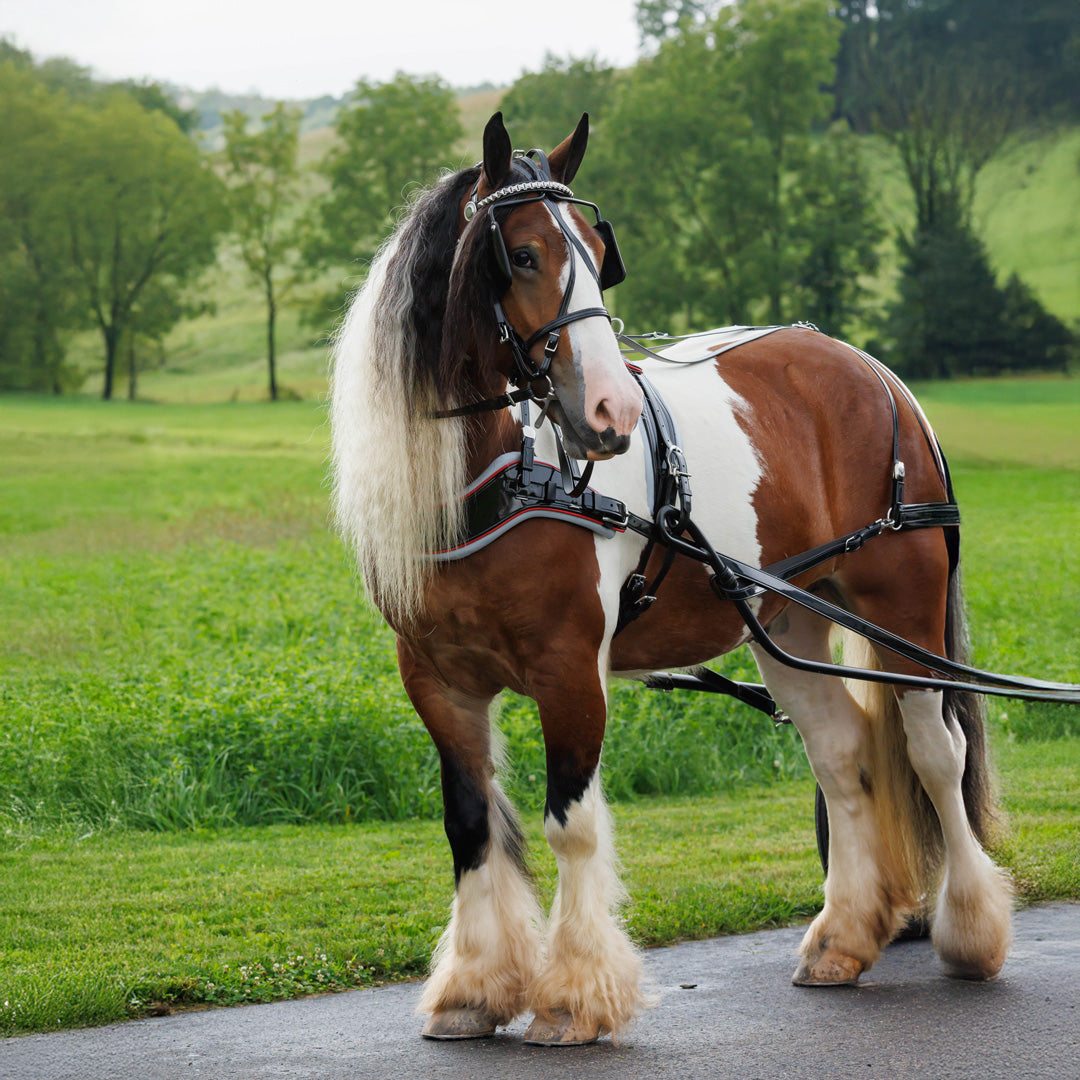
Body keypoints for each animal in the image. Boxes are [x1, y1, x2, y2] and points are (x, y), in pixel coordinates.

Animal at [326, 111, 1010, 1045]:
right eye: (524, 255)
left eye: (595, 251)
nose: (609, 413)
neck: (508, 477)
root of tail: (872, 370)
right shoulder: (437, 679)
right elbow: (469, 824)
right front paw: (472, 988)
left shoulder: (570, 671)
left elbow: (571, 825)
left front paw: (574, 996)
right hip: (788, 627)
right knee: (840, 758)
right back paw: (841, 939)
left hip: (904, 615)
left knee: (936, 756)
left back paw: (970, 930)